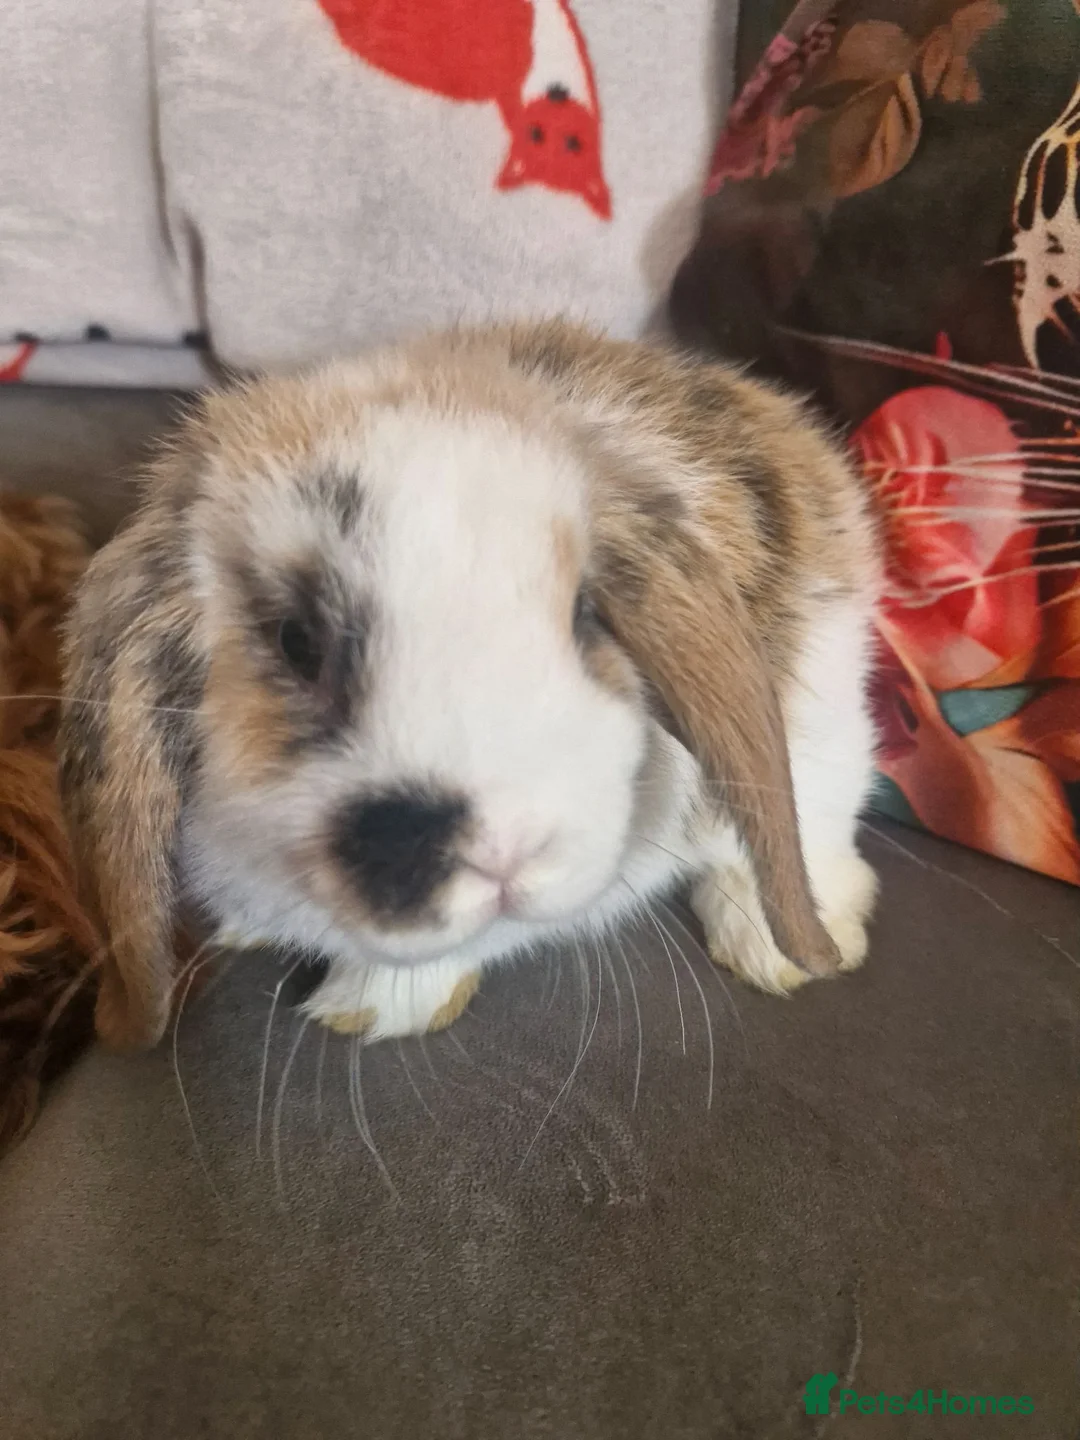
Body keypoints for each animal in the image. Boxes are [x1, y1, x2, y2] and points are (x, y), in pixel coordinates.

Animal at [59, 320, 882, 1051]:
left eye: (586, 613)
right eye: (297, 641)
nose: (505, 849)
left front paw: (367, 1009)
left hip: (826, 714)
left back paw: (785, 950)